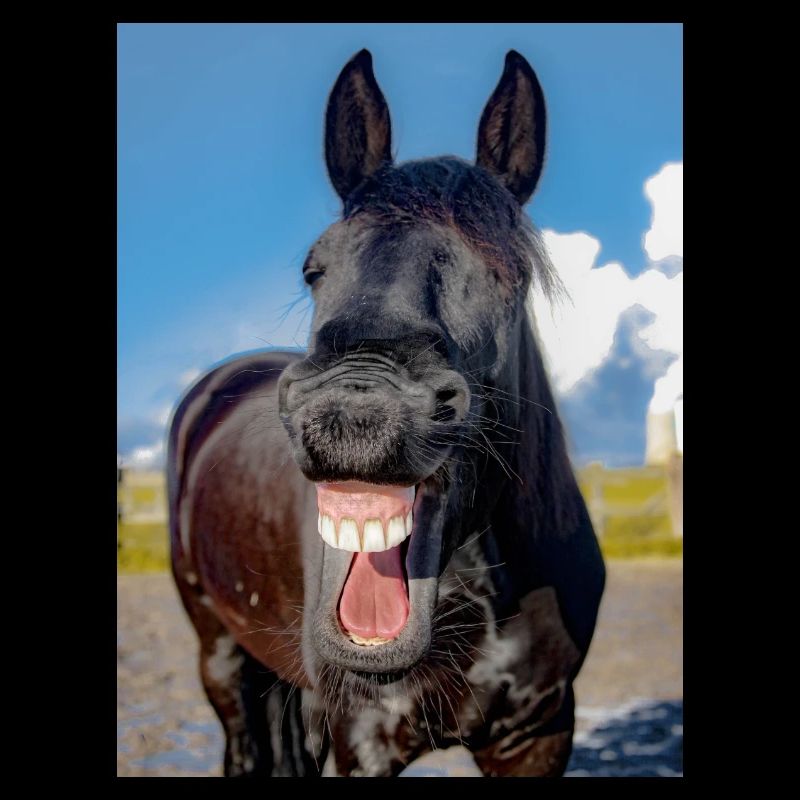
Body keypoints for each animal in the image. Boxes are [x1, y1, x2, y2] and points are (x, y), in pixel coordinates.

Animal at [167, 48, 605, 777]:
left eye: (507, 274)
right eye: (314, 268)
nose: (353, 411)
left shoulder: (539, 734)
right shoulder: (361, 738)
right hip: (220, 658)